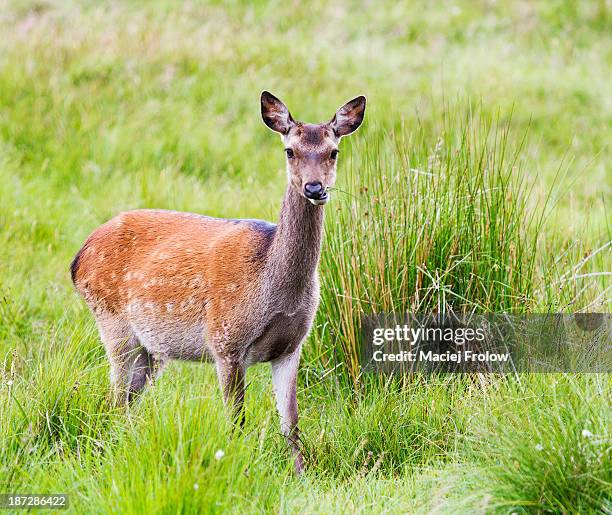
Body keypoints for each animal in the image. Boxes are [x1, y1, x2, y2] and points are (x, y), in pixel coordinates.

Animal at [71, 91, 368, 472]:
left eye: (334, 151)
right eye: (290, 150)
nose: (314, 188)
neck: (273, 288)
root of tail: (78, 258)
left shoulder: (292, 346)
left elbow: (291, 423)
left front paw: (301, 473)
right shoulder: (225, 340)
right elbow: (237, 420)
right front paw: (238, 463)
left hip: (151, 349)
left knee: (127, 402)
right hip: (112, 322)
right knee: (115, 399)